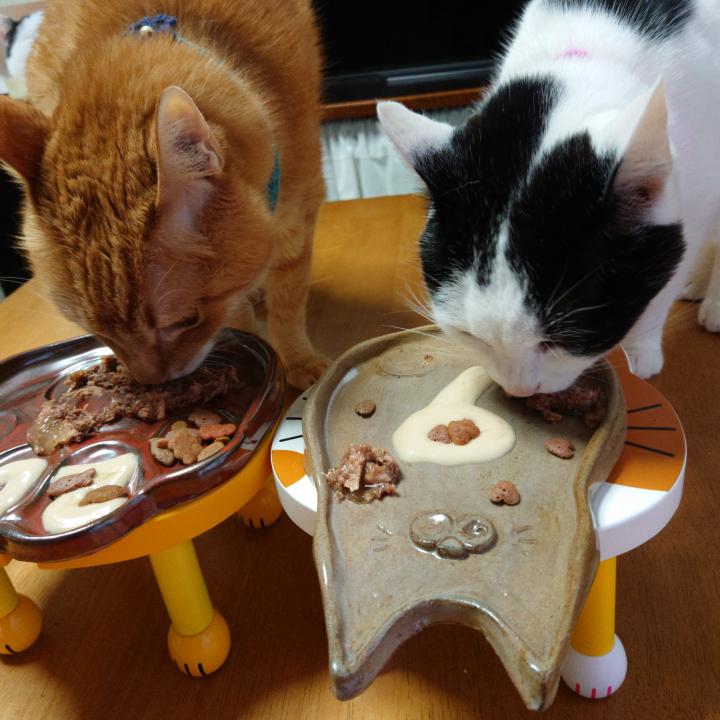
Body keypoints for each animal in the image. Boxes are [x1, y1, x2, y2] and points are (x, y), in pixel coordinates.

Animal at [0, 0, 328, 389]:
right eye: (97, 331)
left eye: (185, 321)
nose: (152, 383)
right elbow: (239, 311)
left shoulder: (298, 220)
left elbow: (288, 302)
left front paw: (298, 360)